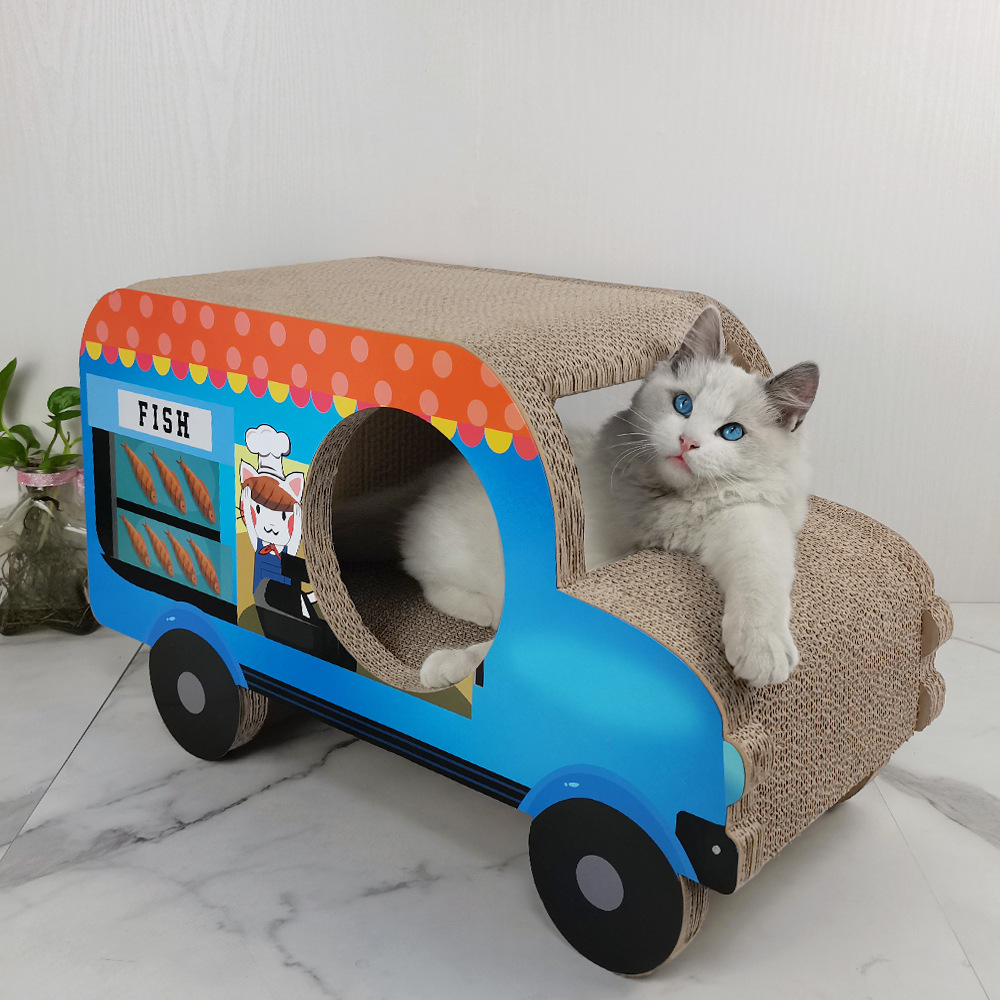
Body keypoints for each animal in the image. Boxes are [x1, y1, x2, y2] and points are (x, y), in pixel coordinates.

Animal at [403, 305, 819, 691]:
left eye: (732, 432)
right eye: (683, 404)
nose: (687, 442)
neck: (665, 502)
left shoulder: (748, 519)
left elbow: (758, 583)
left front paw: (761, 653)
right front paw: (453, 667)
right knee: (431, 581)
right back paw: (483, 617)